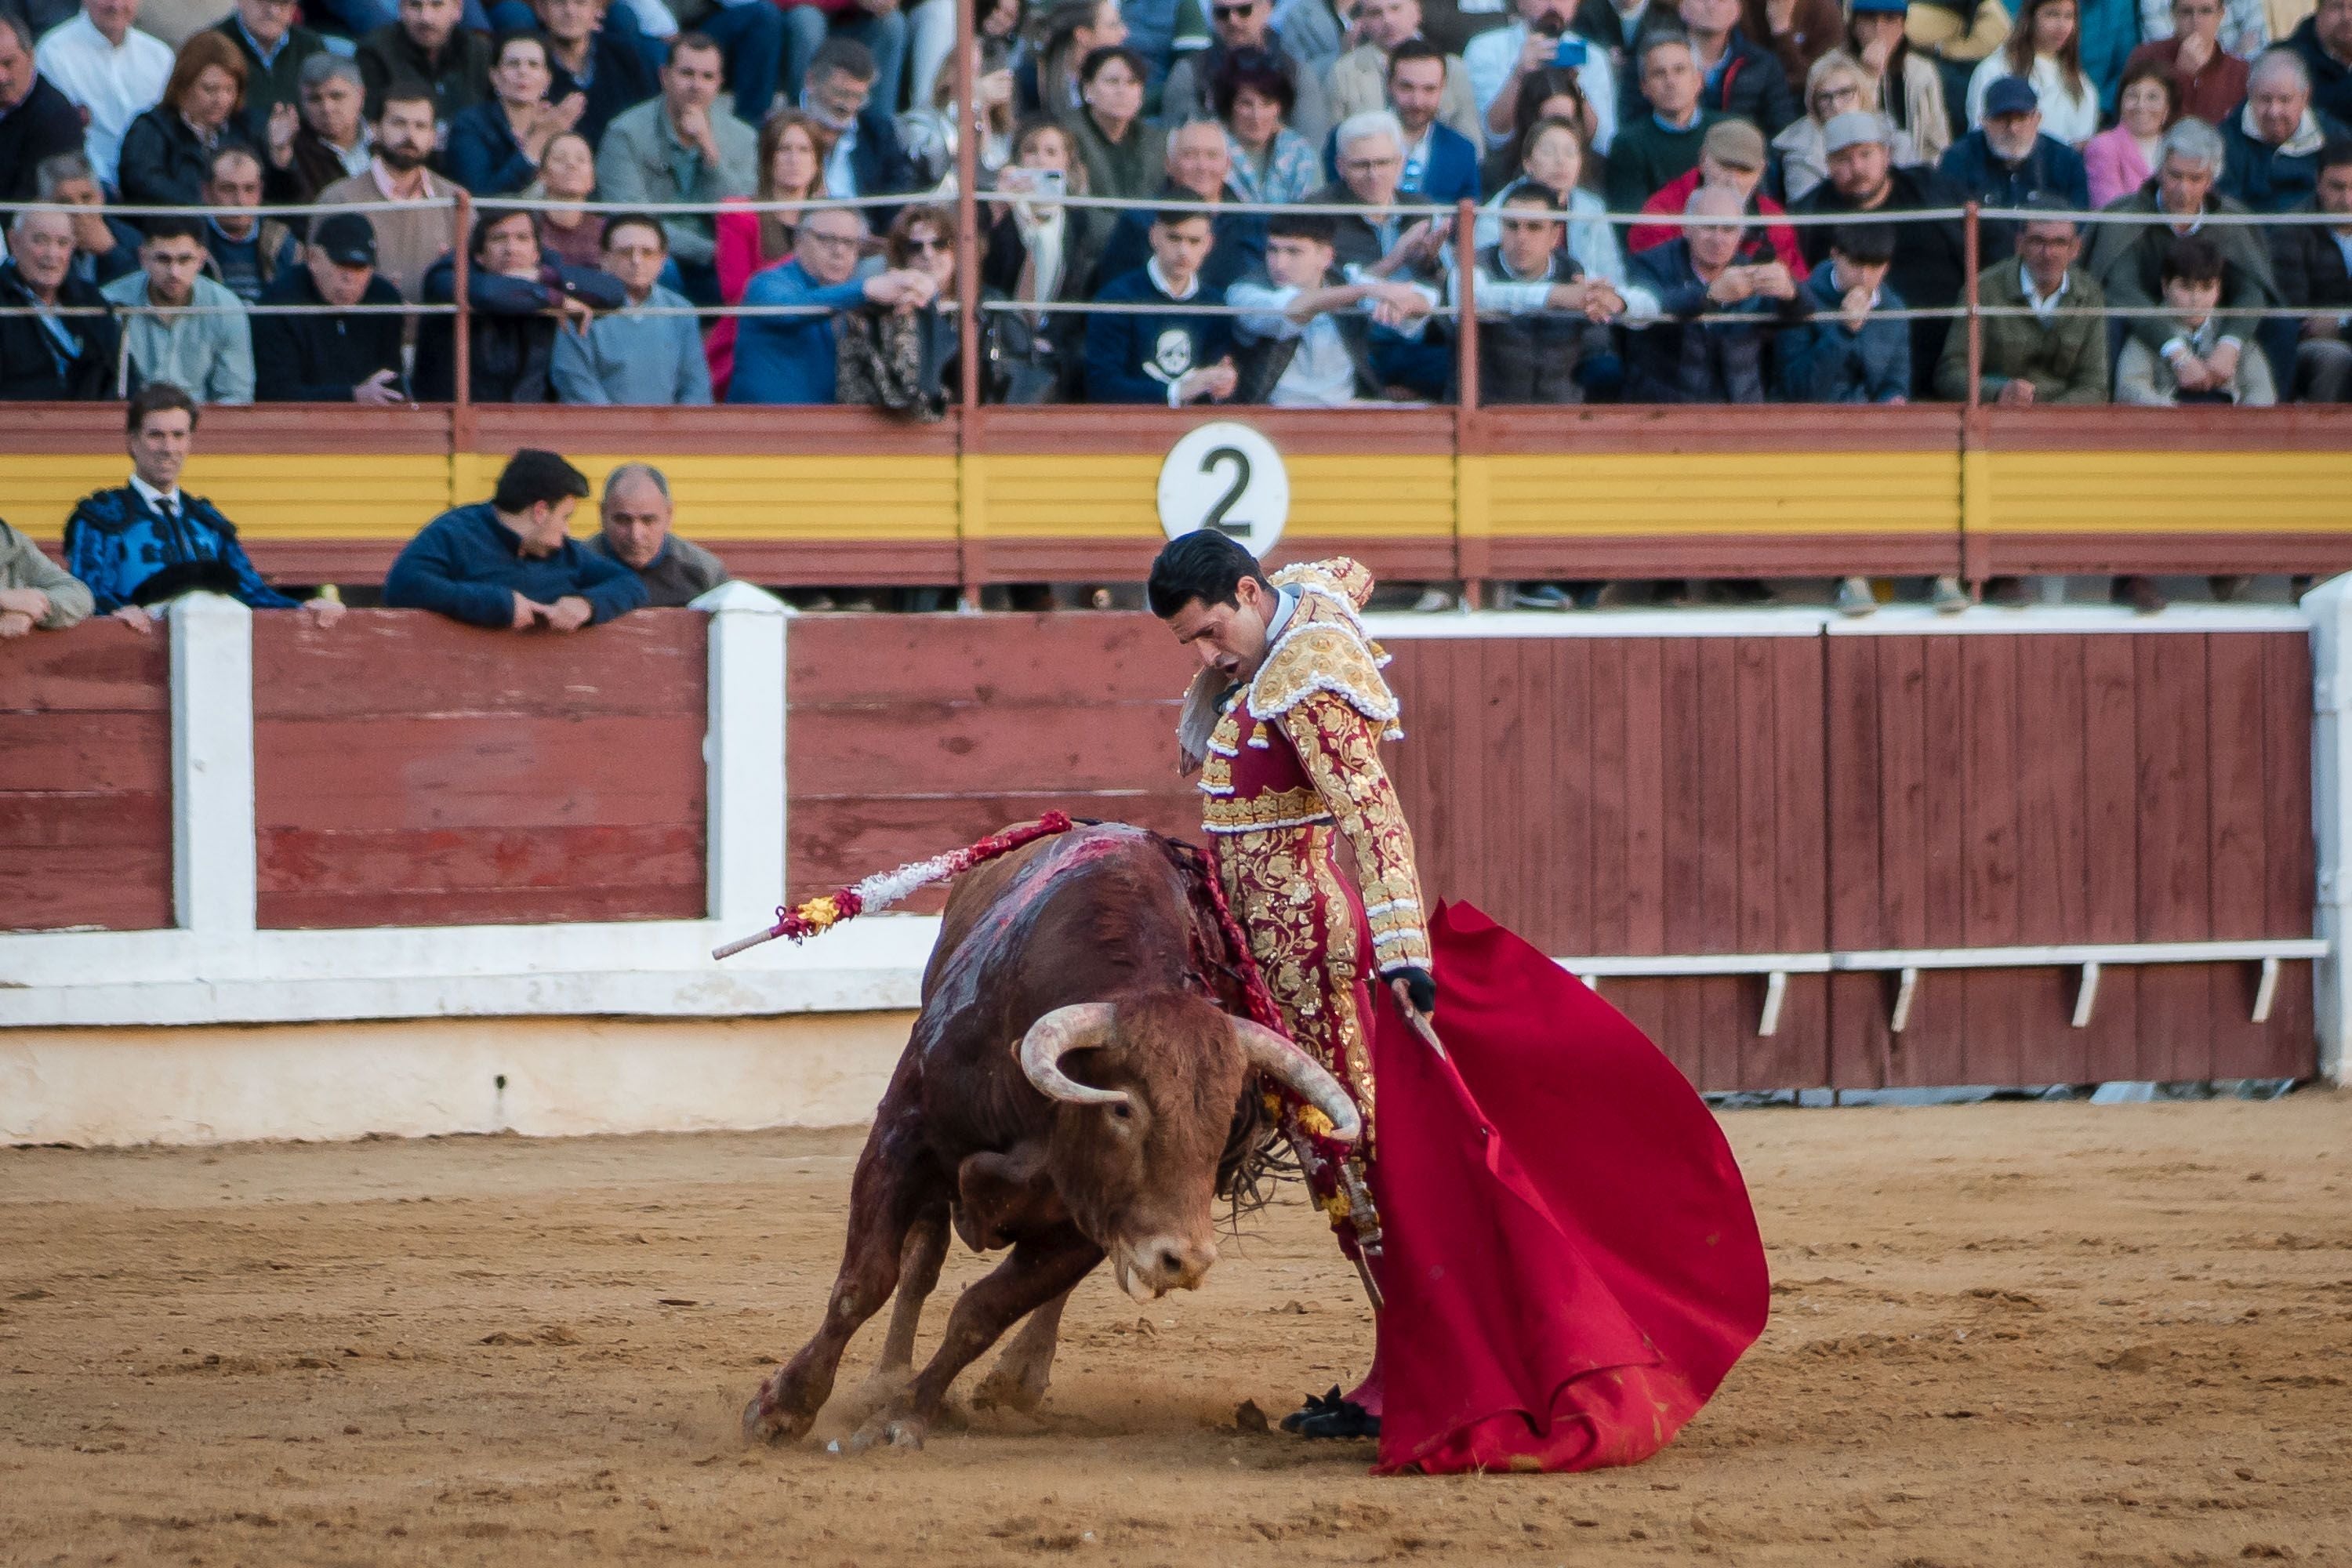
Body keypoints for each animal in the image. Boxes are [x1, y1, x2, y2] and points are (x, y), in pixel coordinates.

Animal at [743, 827, 1355, 1457]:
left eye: (1227, 1118)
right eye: (1121, 1108)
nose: (1184, 1261)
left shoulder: (1093, 1219)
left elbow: (982, 1313)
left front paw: (905, 1416)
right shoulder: (902, 1137)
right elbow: (866, 1280)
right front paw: (783, 1407)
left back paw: (1015, 1380)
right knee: (922, 1259)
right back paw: (884, 1377)